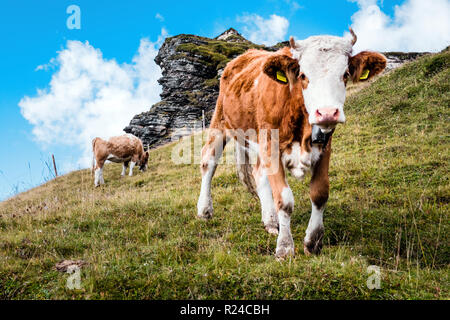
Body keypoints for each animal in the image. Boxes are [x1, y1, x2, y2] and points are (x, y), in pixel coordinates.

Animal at [197, 28, 386, 258]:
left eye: (345, 74)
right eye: (303, 75)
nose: (327, 112)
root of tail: (243, 56)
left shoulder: (324, 146)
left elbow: (320, 193)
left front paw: (313, 241)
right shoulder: (271, 145)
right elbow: (285, 200)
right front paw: (285, 247)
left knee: (259, 173)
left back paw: (270, 221)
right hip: (220, 120)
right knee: (208, 160)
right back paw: (205, 211)